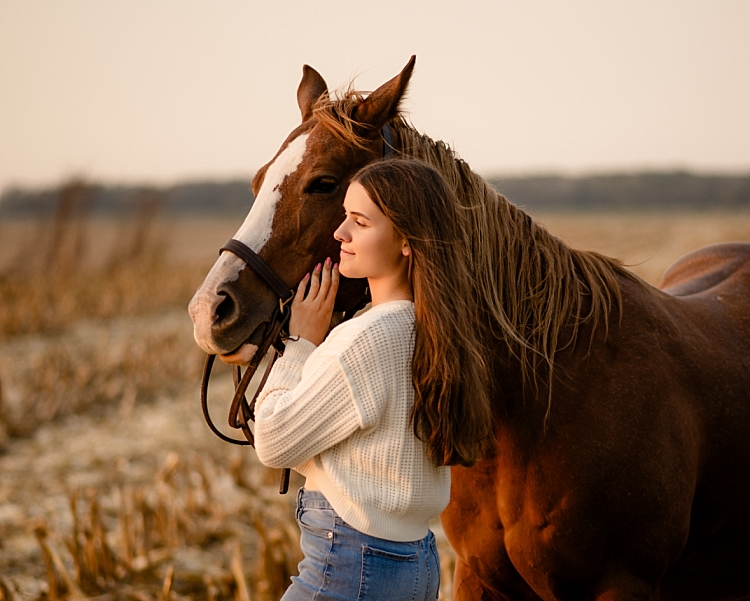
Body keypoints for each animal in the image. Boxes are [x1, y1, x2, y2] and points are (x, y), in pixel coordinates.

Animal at [191, 55, 750, 596]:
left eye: (324, 183)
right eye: (258, 181)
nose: (209, 310)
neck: (538, 398)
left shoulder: (623, 582)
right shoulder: (478, 574)